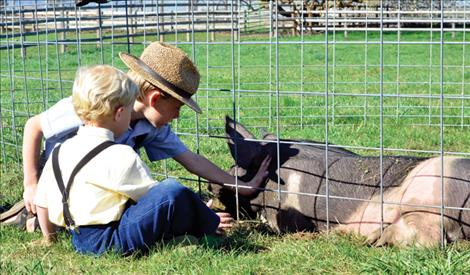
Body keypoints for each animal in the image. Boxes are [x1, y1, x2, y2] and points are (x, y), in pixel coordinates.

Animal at [209, 116, 470, 248]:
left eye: (236, 168)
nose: (211, 186)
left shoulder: (283, 213)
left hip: (426, 202)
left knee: (427, 238)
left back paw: (372, 239)